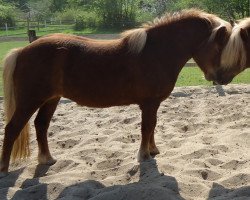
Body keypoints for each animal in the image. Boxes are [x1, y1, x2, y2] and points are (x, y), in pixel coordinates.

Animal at [0, 9, 232, 176]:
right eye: (219, 47)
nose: (224, 79)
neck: (157, 52)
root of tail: (22, 51)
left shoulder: (154, 104)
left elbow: (153, 126)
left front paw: (153, 150)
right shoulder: (149, 103)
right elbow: (146, 127)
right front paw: (144, 155)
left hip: (51, 99)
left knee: (41, 125)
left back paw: (47, 159)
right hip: (30, 100)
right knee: (12, 128)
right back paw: (4, 169)